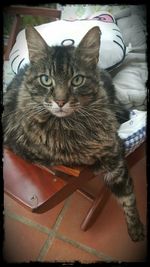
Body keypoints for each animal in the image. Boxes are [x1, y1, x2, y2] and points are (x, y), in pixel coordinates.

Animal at [2, 26, 145, 242]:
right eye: (46, 80)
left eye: (77, 80)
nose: (61, 101)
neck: (72, 125)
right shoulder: (26, 148)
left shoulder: (115, 156)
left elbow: (128, 197)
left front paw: (136, 229)